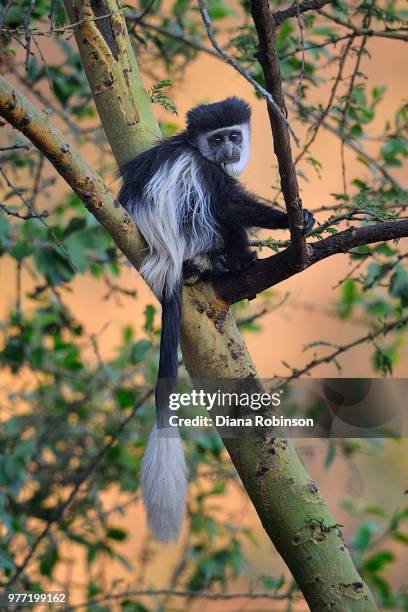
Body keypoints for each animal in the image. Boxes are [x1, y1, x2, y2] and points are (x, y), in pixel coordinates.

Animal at [118, 98, 316, 544]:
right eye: (218, 139)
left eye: (234, 135)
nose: (228, 150)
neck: (195, 148)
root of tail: (168, 261)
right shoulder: (204, 172)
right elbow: (229, 203)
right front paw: (292, 220)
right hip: (196, 235)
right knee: (217, 212)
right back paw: (238, 262)